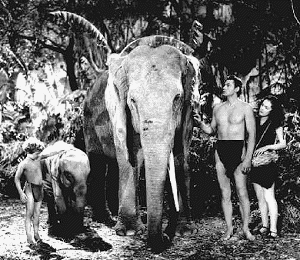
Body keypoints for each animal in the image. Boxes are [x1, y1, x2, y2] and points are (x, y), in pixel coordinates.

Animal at [84, 35, 200, 253]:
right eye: (132, 101)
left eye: (177, 98)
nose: (165, 237)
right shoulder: (117, 110)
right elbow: (130, 157)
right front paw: (129, 232)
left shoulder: (189, 112)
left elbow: (181, 157)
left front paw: (185, 232)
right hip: (88, 122)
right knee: (98, 162)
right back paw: (104, 219)